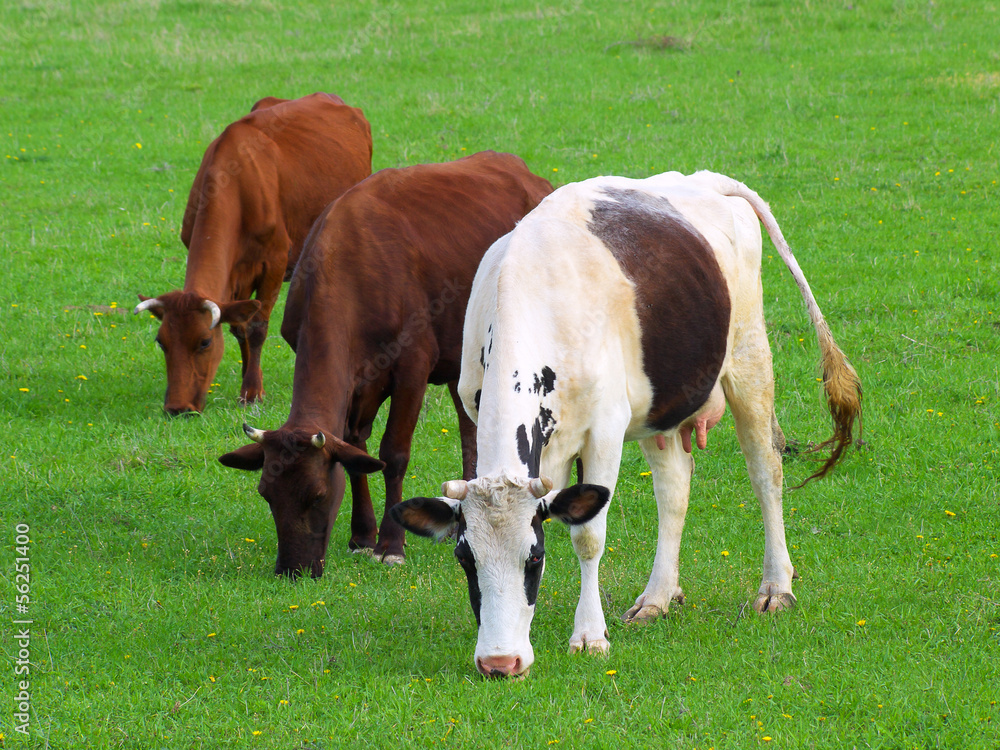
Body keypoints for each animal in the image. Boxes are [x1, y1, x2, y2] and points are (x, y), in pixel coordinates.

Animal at [131, 94, 370, 418]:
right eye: (161, 342)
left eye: (204, 342)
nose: (178, 408)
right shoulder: (235, 275)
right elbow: (239, 326)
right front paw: (249, 377)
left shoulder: (274, 262)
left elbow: (257, 327)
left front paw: (253, 391)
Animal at [218, 150, 556, 580]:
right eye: (266, 495)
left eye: (317, 495)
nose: (292, 570)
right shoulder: (356, 383)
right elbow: (356, 453)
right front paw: (362, 536)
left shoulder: (412, 368)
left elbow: (393, 453)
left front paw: (391, 545)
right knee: (470, 422)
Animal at [390, 170, 860, 680]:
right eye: (465, 558)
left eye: (533, 556)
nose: (499, 662)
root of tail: (703, 178)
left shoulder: (605, 432)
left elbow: (588, 535)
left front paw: (589, 635)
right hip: (661, 406)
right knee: (674, 488)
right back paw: (657, 597)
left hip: (749, 357)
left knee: (765, 470)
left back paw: (775, 587)